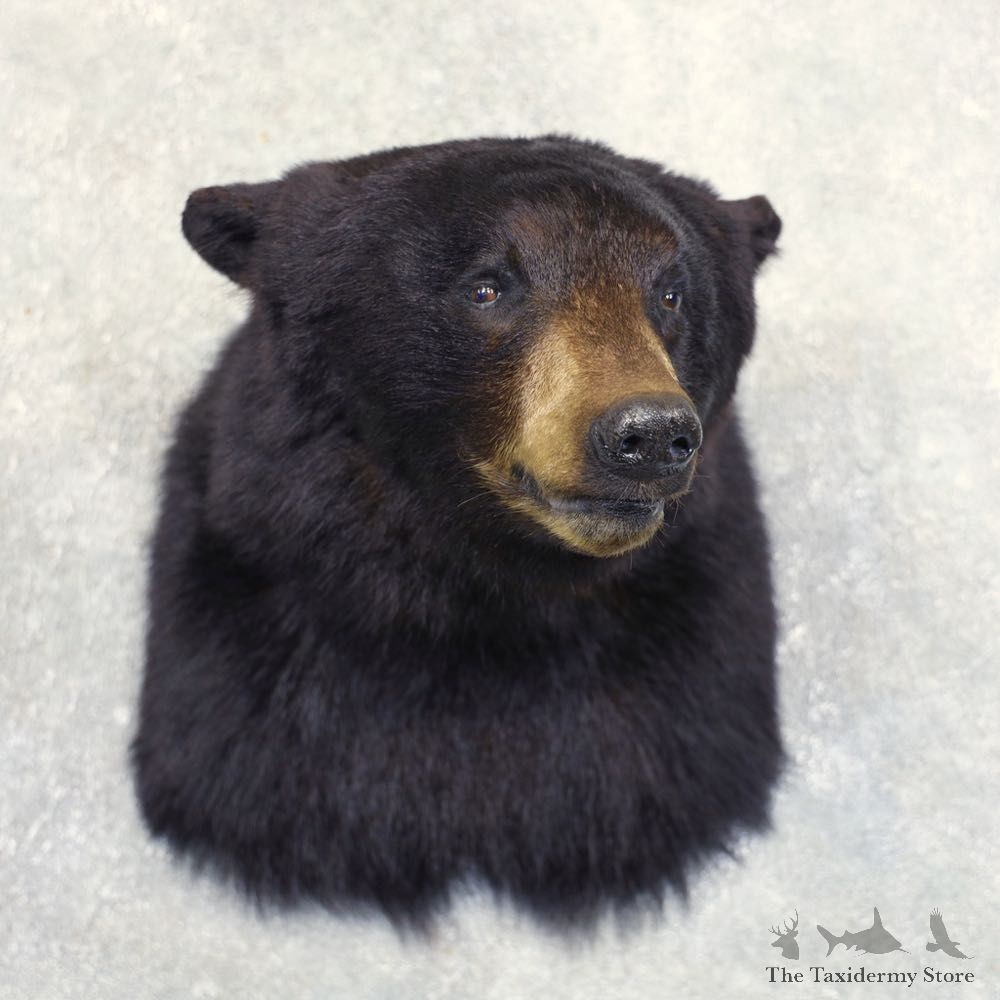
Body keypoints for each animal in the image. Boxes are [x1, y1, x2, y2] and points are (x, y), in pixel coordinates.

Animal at [132, 135, 783, 928]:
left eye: (670, 292)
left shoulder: (691, 669)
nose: (649, 435)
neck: (479, 603)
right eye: (487, 288)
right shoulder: (257, 658)